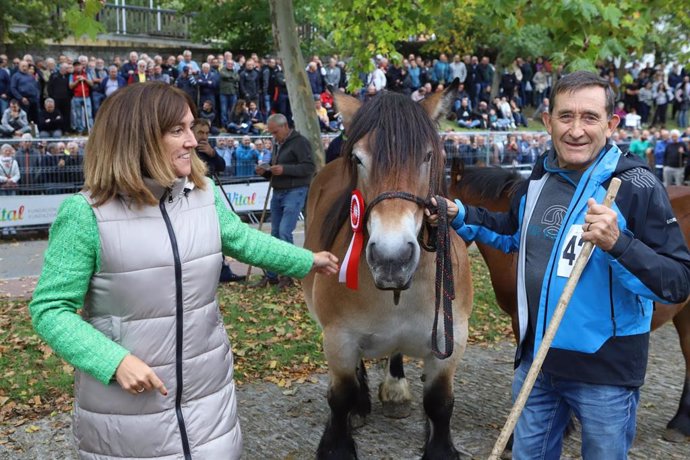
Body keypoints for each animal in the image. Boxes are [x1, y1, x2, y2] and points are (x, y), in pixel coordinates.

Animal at [302, 84, 470, 458]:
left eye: (427, 156)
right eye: (358, 158)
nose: (391, 259)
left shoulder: (450, 340)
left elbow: (440, 402)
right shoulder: (338, 338)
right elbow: (340, 396)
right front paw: (339, 439)